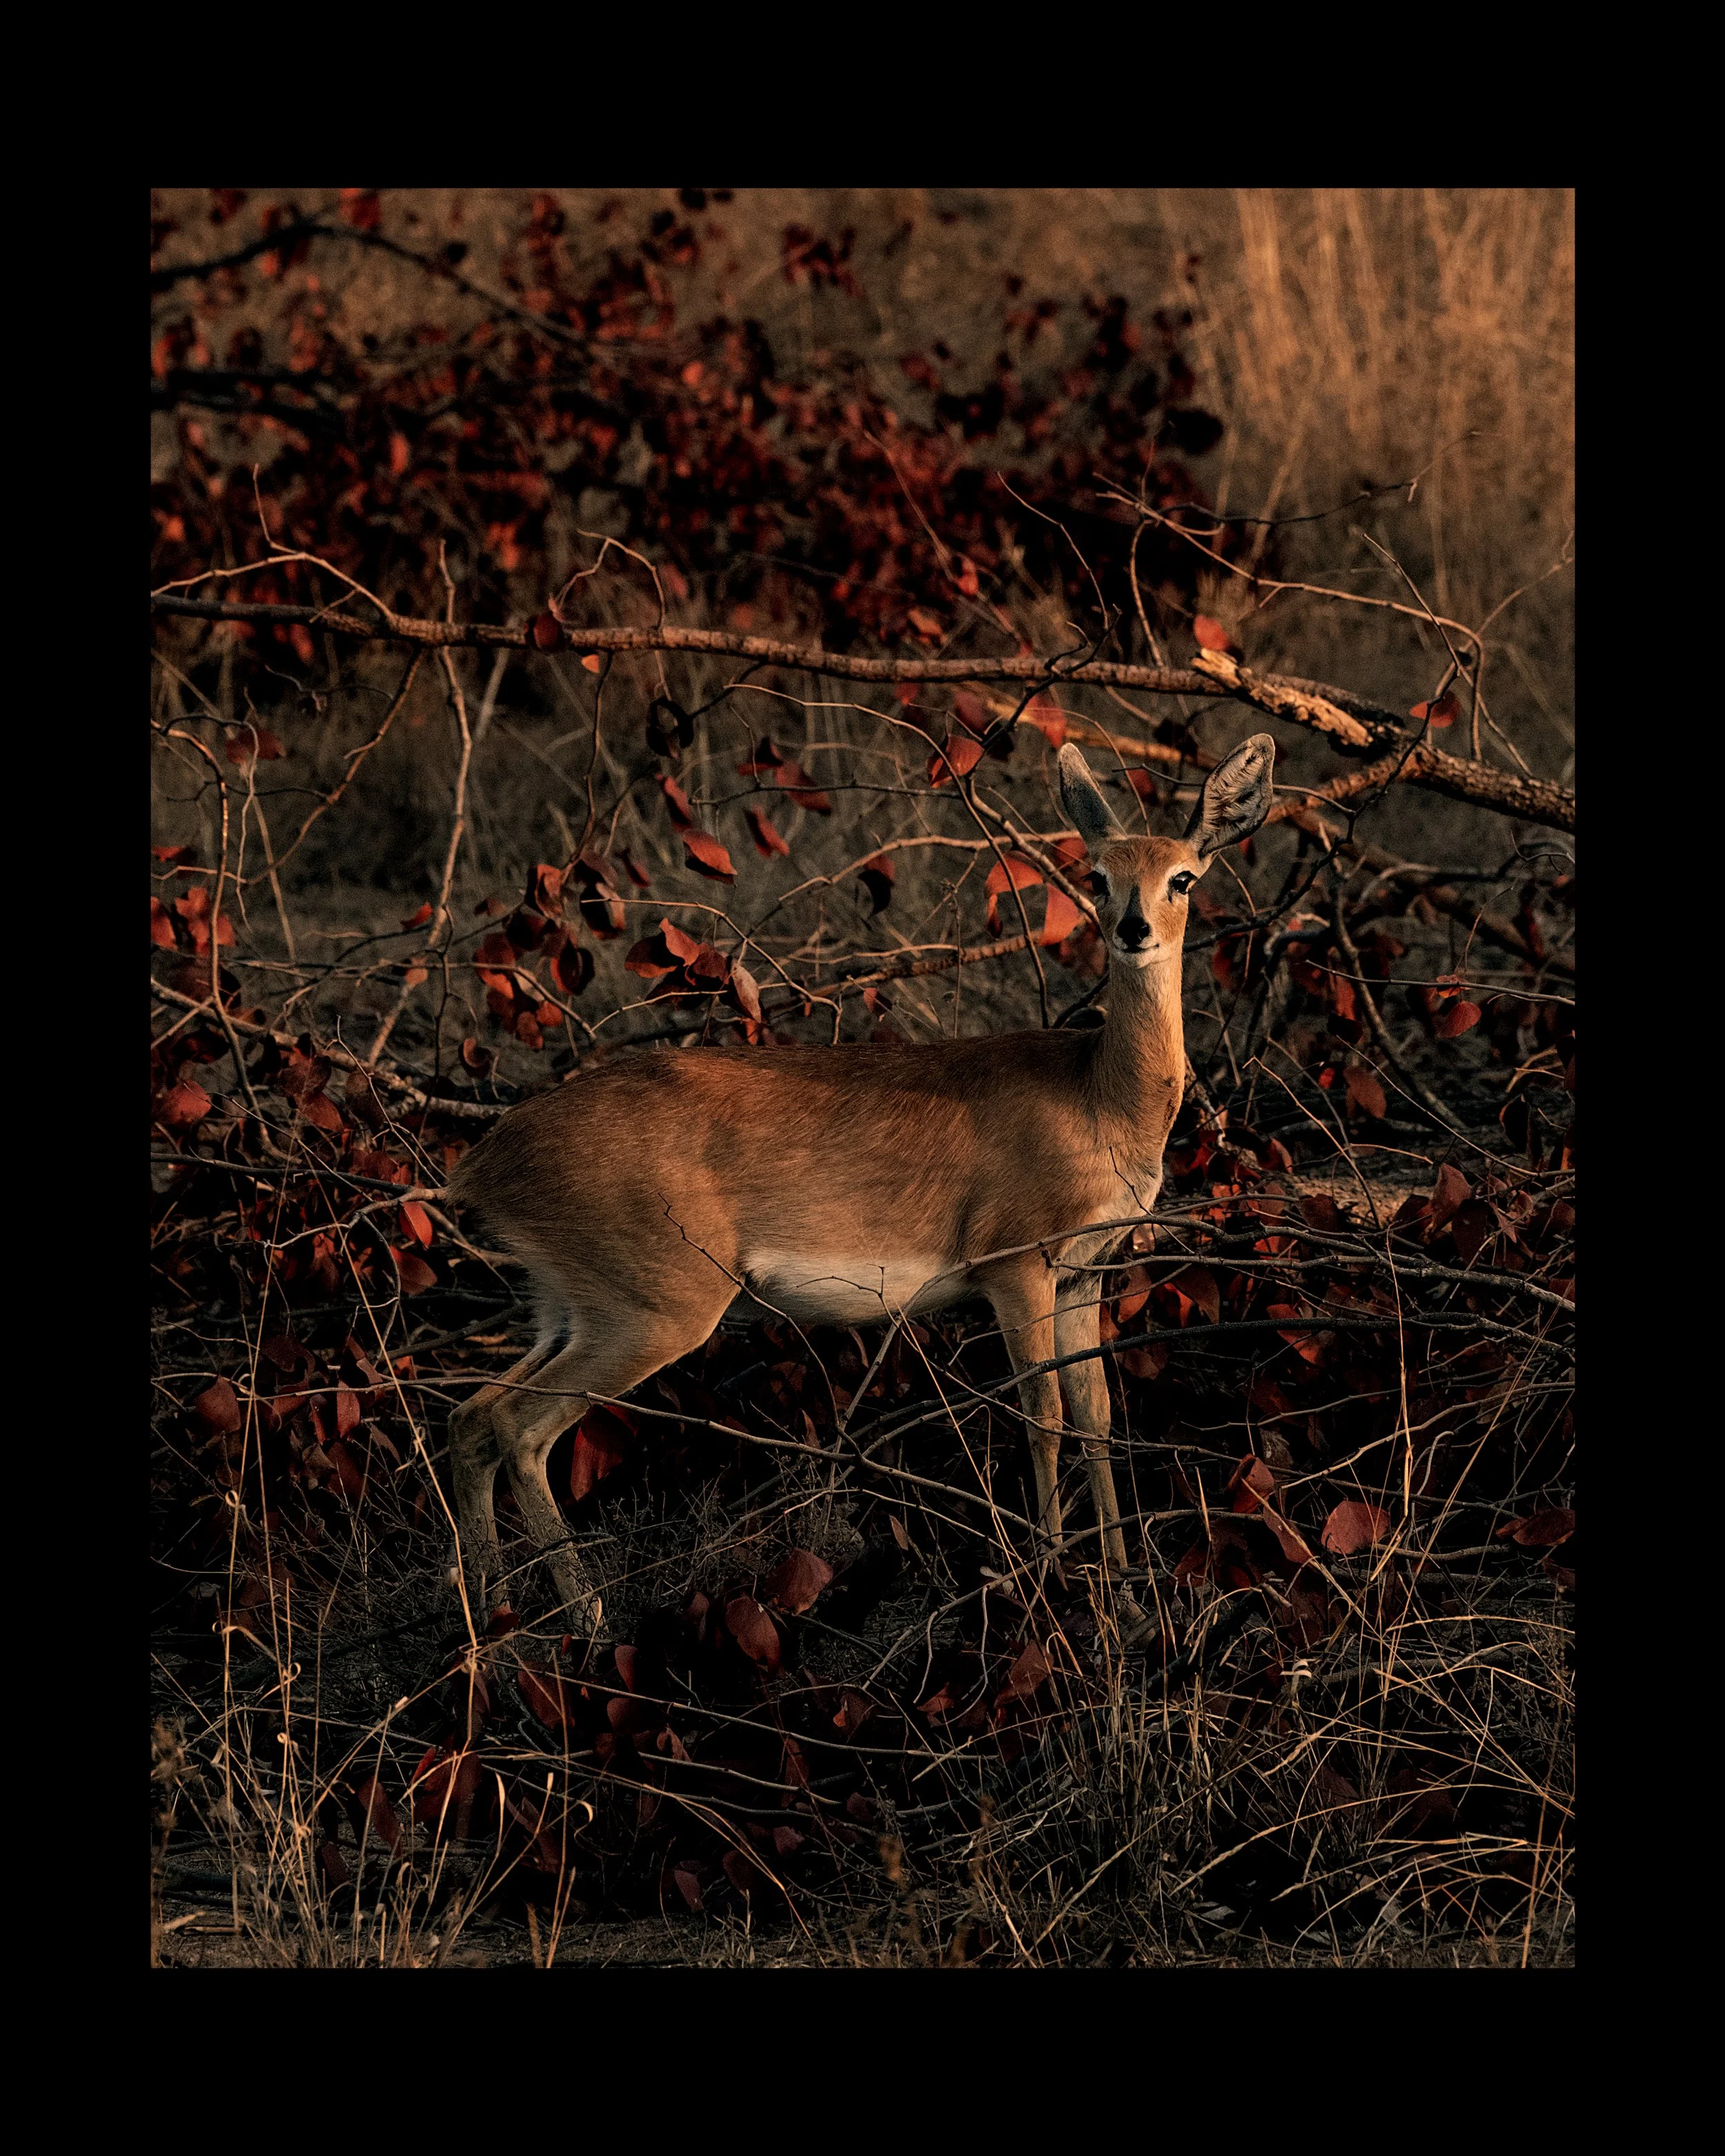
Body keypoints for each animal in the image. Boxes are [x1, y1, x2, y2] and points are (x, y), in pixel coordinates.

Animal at [443, 732, 1277, 1647]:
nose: (1133, 929)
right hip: (655, 1305)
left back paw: (488, 1618)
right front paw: (1055, 1585)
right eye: (1096, 873)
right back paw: (588, 1623)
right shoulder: (1013, 1262)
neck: (1099, 1095)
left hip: (568, 1302)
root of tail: (484, 1161)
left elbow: (1095, 1417)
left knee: (472, 1416)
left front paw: (1123, 1599)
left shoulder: (1083, 1272)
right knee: (519, 1429)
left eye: (1182, 875)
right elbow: (1044, 1416)